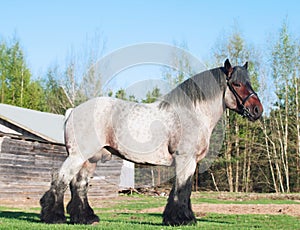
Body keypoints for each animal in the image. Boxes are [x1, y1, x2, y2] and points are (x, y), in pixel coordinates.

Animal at [39, 59, 262, 226]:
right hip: (77, 156)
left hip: (90, 159)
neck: (192, 113)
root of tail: (72, 111)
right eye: (237, 84)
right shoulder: (186, 159)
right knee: (60, 179)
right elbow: (182, 189)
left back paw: (85, 218)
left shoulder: (190, 162)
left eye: (249, 83)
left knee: (79, 184)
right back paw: (54, 217)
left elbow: (185, 189)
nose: (257, 110)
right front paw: (182, 219)